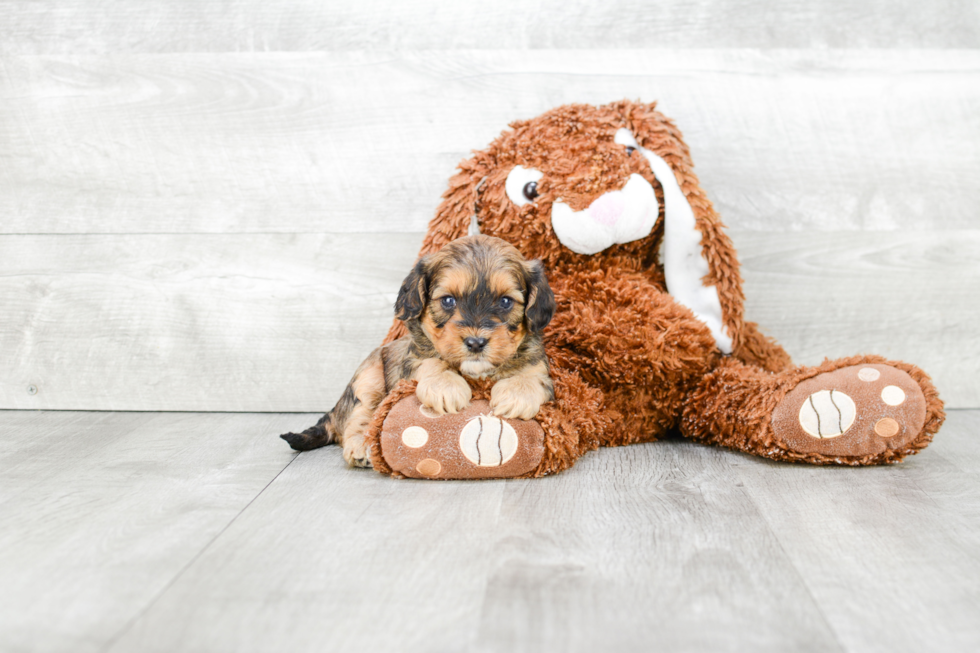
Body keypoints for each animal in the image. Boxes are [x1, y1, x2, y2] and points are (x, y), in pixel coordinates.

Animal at [284, 237, 560, 466]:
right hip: (368, 377)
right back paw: (362, 446)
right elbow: (431, 361)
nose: (475, 343)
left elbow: (531, 376)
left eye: (505, 302)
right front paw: (446, 388)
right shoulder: (413, 359)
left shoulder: (541, 369)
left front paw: (516, 395)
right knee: (361, 415)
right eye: (448, 300)